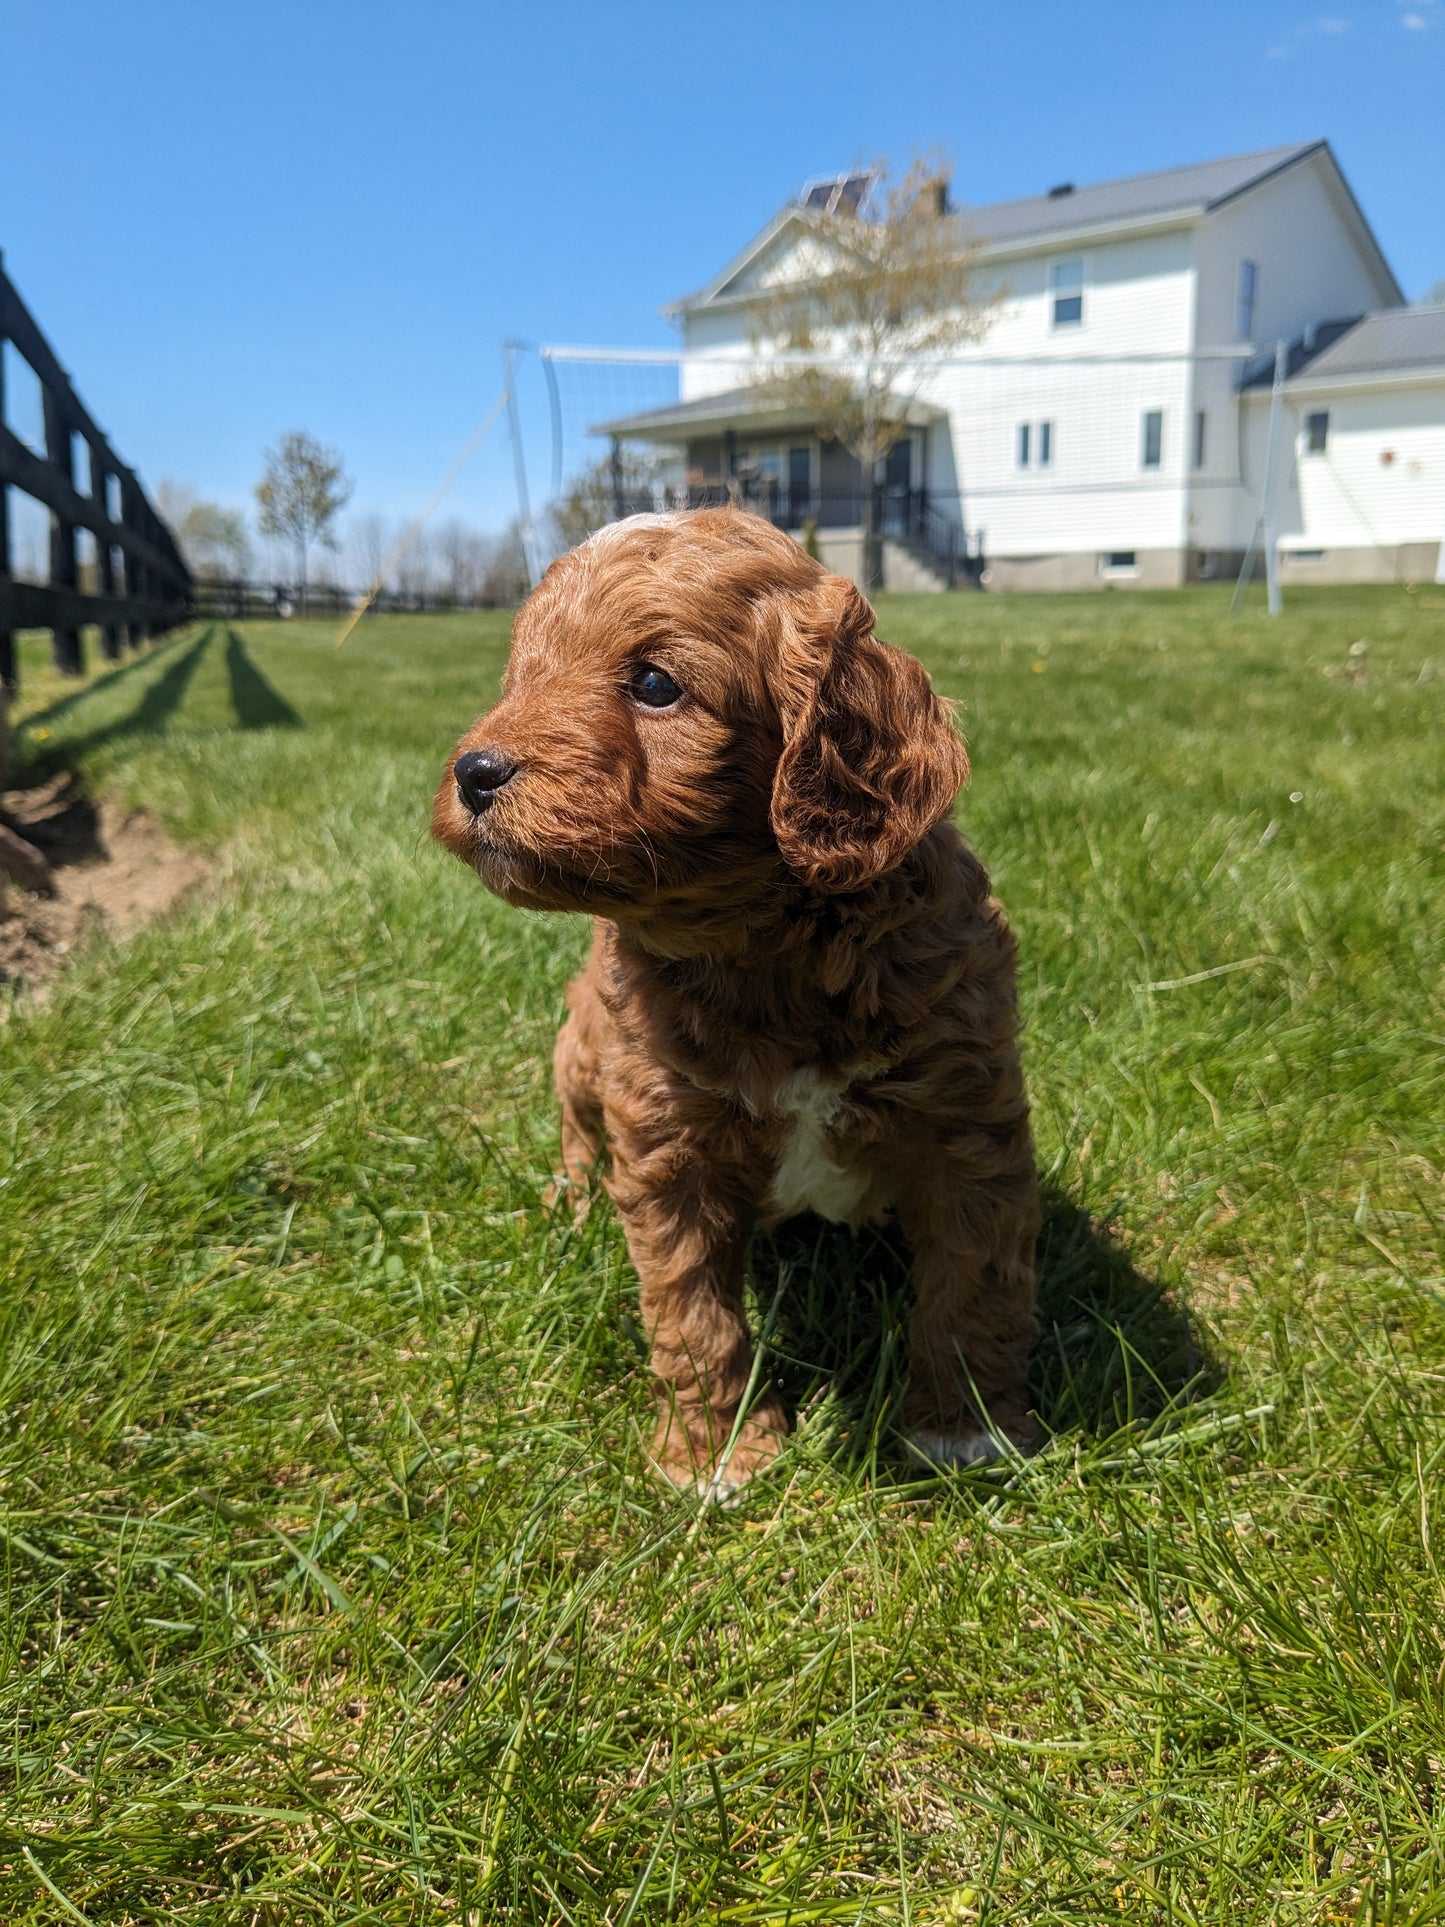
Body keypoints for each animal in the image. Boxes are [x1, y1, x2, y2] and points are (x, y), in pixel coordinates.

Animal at [429, 504, 1040, 1495]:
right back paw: (571, 1204)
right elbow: (691, 1312)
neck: (767, 950)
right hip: (580, 1053)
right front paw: (715, 1453)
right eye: (522, 671)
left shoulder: (967, 1121)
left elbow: (973, 1283)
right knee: (575, 1134)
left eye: (653, 682)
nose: (474, 772)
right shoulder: (666, 1143)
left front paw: (963, 1429)